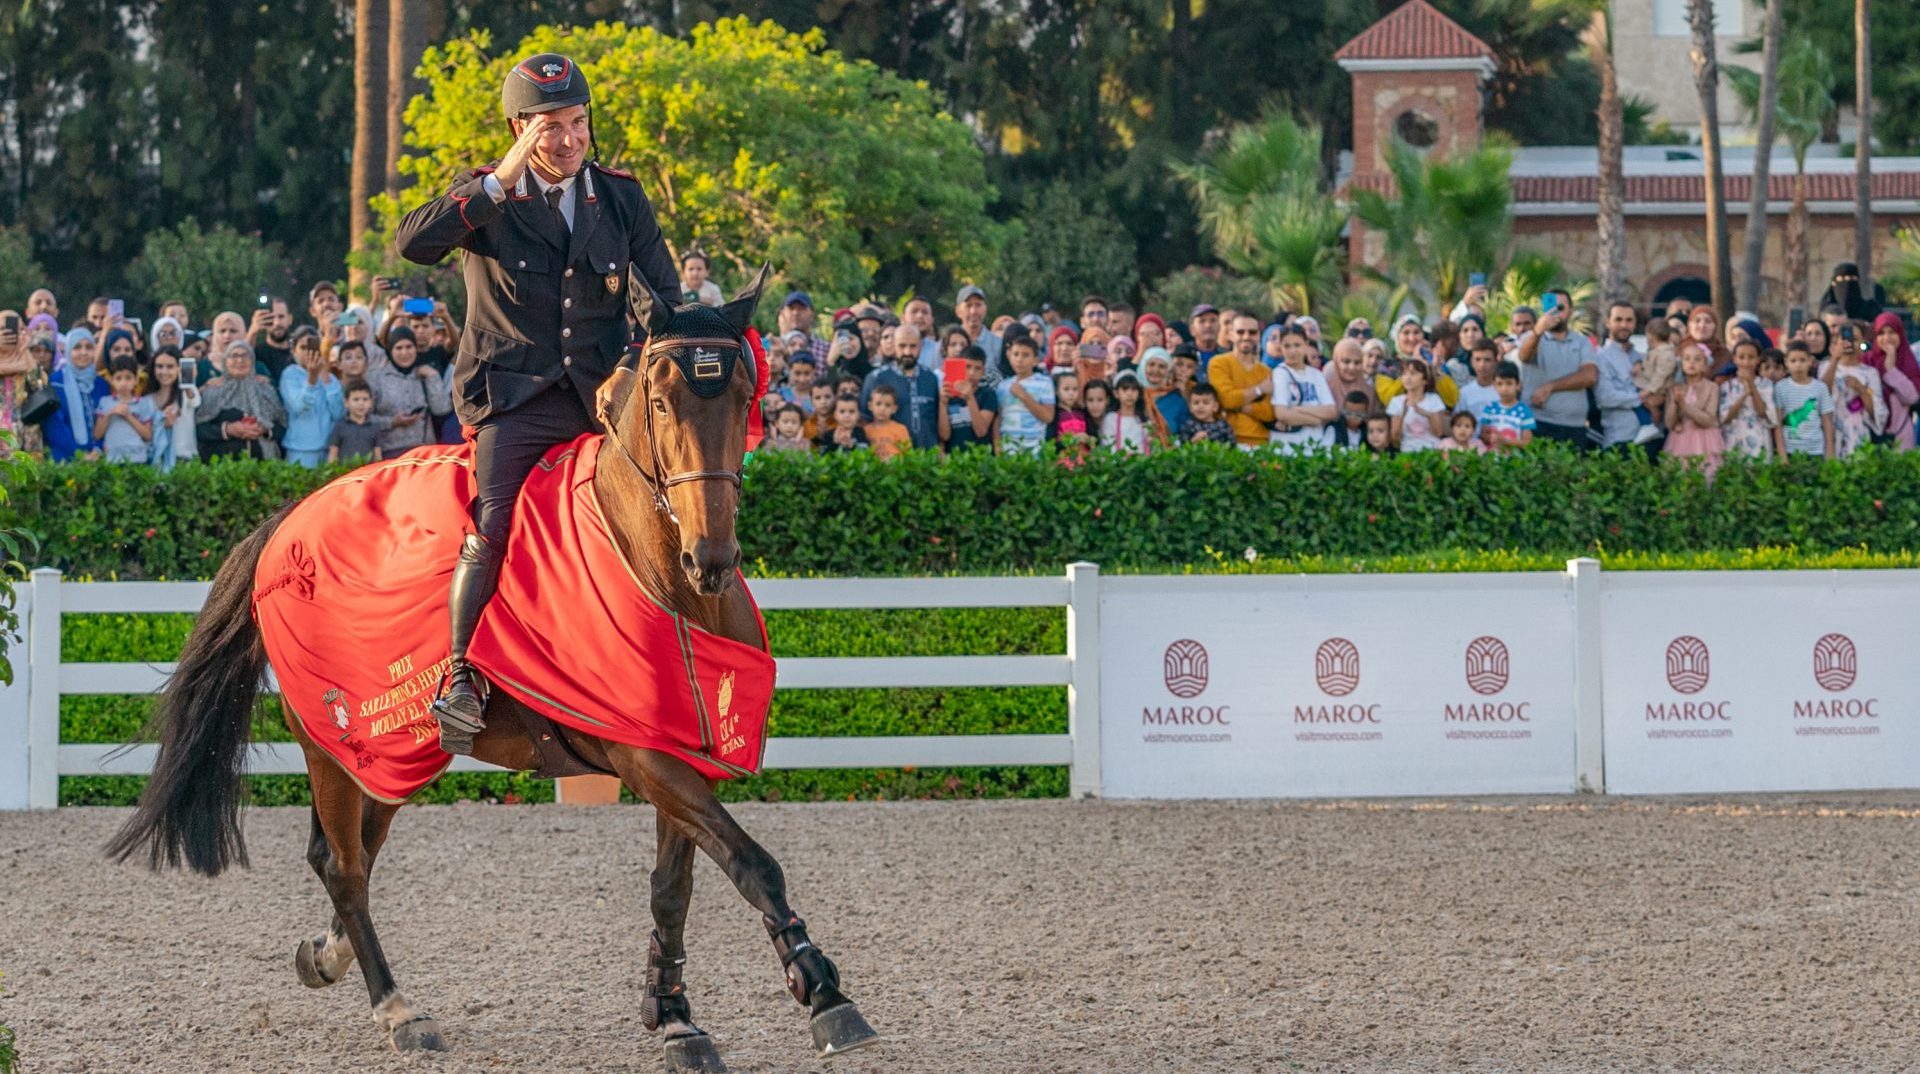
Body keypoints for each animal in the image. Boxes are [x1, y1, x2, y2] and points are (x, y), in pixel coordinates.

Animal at [106, 266, 877, 1072]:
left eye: (743, 399)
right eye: (662, 401)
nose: (713, 557)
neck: (661, 573)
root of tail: (286, 520)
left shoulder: (677, 746)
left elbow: (676, 884)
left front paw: (673, 1016)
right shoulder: (641, 755)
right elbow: (750, 862)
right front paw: (823, 991)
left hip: (394, 752)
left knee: (346, 856)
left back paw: (326, 954)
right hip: (332, 740)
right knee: (346, 867)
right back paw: (399, 1011)